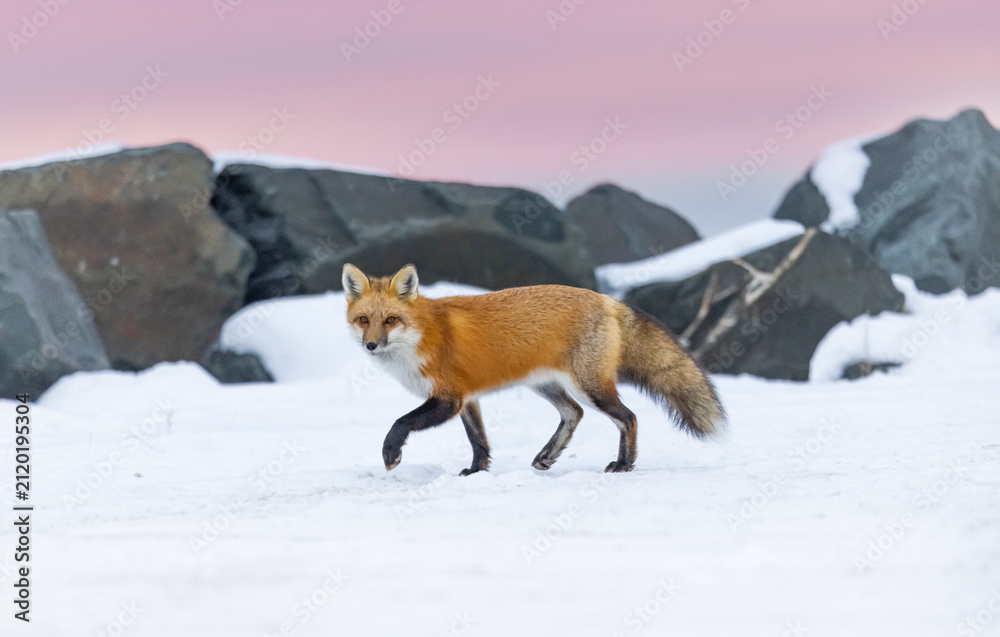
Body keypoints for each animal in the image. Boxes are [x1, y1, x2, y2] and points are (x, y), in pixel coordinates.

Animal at [342, 263, 726, 475]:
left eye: (391, 320)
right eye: (363, 320)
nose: (371, 345)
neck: (421, 336)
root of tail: (606, 299)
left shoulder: (448, 398)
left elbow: (400, 422)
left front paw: (391, 453)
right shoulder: (466, 397)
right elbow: (478, 440)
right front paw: (476, 471)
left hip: (591, 386)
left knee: (627, 417)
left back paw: (624, 465)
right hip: (546, 385)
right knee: (573, 414)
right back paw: (547, 456)